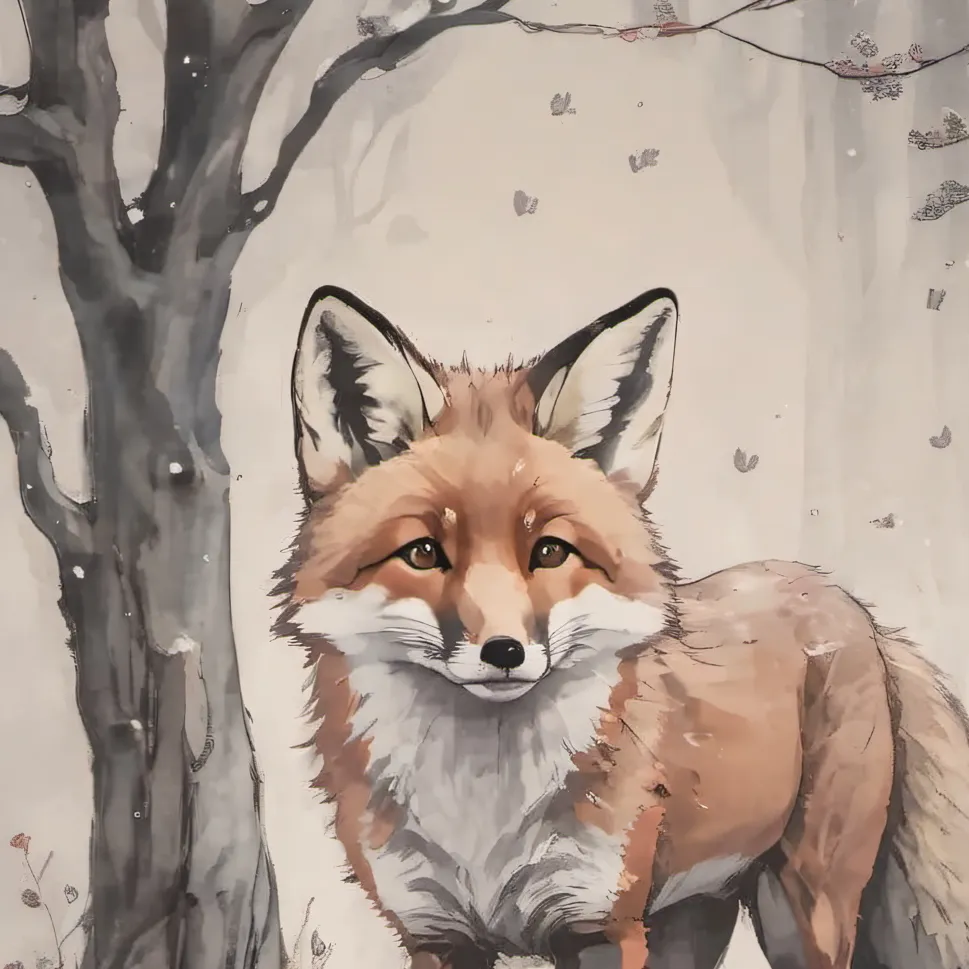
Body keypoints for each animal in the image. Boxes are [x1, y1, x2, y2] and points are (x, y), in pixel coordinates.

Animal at [272, 284, 969, 969]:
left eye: (550, 551)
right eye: (422, 553)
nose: (504, 651)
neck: (481, 814)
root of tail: (848, 603)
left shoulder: (600, 925)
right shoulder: (438, 935)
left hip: (803, 909)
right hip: (690, 922)